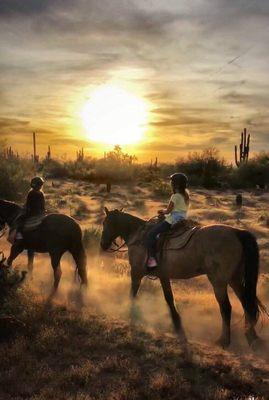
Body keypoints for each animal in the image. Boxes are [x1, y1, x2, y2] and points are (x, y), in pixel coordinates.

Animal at [100, 208, 266, 348]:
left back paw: (223, 341)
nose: (102, 245)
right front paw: (177, 324)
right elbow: (169, 298)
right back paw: (251, 336)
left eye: (105, 223)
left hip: (219, 281)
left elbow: (133, 294)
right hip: (234, 279)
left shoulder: (136, 273)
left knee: (226, 307)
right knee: (246, 302)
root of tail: (237, 232)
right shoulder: (163, 275)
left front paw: (130, 313)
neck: (138, 236)